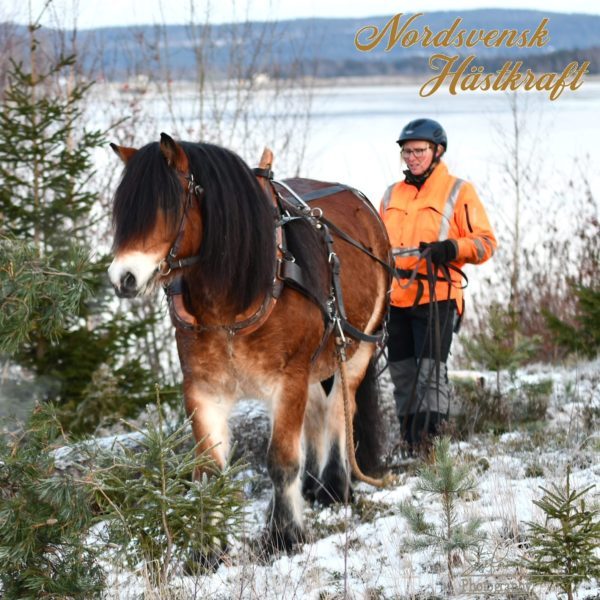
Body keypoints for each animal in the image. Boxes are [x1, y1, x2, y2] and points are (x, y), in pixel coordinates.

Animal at [108, 134, 392, 552]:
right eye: (123, 210)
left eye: (167, 206)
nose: (123, 277)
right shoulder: (203, 388)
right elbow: (209, 468)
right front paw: (207, 549)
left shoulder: (288, 381)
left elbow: (281, 460)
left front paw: (284, 534)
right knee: (317, 413)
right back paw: (313, 487)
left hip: (357, 350)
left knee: (341, 410)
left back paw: (334, 488)